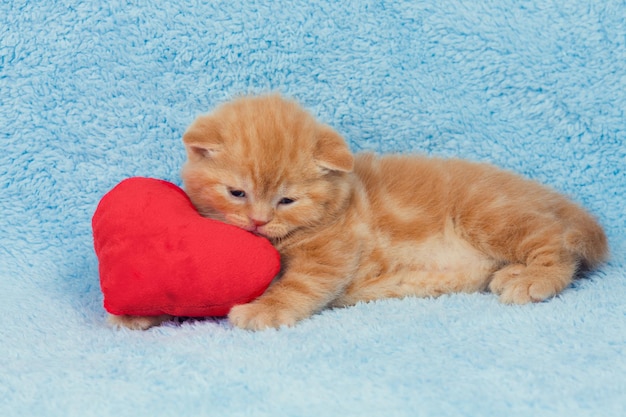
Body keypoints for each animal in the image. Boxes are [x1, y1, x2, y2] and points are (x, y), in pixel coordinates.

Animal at [109, 95, 608, 332]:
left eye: (287, 201)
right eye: (237, 193)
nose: (258, 222)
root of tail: (543, 192)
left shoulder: (330, 252)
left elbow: (296, 285)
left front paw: (265, 310)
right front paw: (139, 314)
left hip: (491, 215)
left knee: (557, 244)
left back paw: (533, 279)